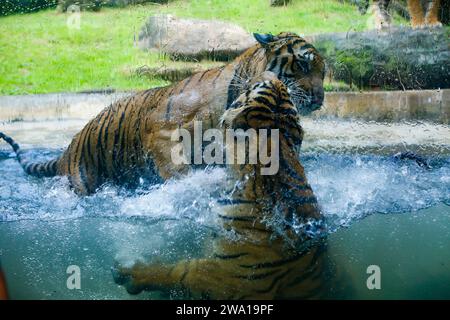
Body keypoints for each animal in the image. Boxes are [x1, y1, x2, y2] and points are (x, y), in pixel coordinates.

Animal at [0, 31, 326, 195]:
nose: (321, 98)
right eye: (304, 64)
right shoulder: (162, 132)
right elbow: (178, 170)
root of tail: (67, 150)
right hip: (83, 179)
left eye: (324, 73)